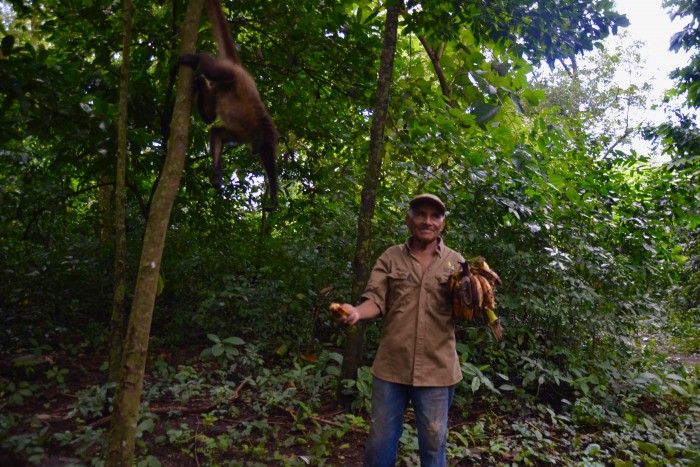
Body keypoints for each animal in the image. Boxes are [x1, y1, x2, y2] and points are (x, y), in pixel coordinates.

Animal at [179, 0, 278, 212]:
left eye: (254, 150)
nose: (253, 152)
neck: (254, 134)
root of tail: (241, 70)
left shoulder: (244, 135)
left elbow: (217, 133)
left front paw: (217, 176)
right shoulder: (267, 134)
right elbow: (269, 160)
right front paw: (274, 199)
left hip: (219, 88)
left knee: (209, 115)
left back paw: (199, 82)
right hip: (229, 73)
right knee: (209, 67)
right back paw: (195, 59)